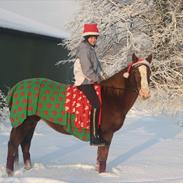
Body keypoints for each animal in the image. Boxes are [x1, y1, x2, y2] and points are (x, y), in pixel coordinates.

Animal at [5, 53, 152, 176]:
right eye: (136, 72)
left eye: (149, 72)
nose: (146, 94)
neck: (113, 96)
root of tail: (17, 86)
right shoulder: (107, 134)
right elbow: (103, 157)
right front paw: (102, 175)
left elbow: (100, 157)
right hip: (23, 122)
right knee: (13, 144)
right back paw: (9, 173)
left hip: (31, 122)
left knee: (25, 144)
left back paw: (28, 168)